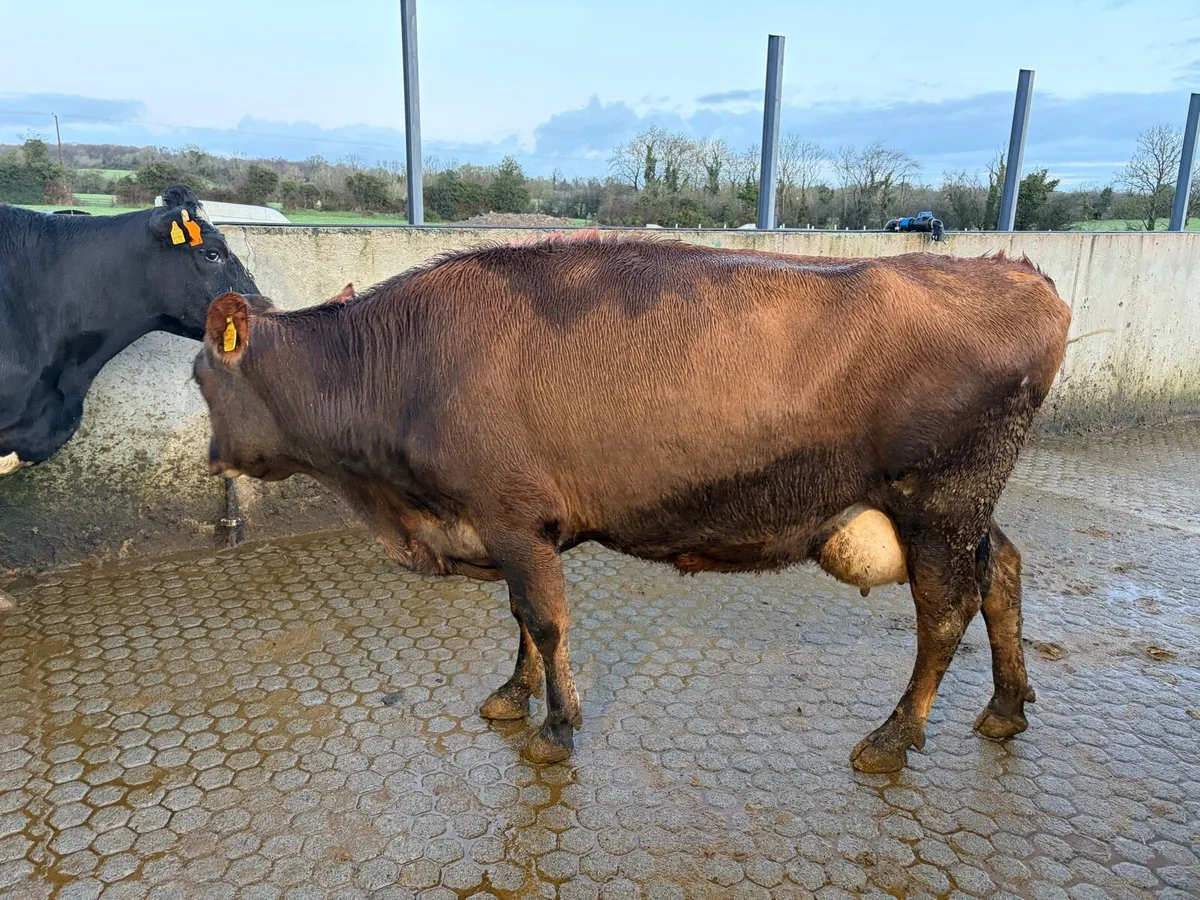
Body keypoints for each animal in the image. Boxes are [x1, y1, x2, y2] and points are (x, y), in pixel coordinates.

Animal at [192, 236, 1071, 773]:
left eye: (200, 376)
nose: (210, 459)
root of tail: (1017, 272)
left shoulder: (513, 517)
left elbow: (545, 621)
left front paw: (557, 727)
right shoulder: (514, 529)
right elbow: (521, 619)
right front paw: (514, 695)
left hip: (939, 502)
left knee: (945, 613)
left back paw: (894, 736)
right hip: (963, 507)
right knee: (1002, 571)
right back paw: (1005, 706)